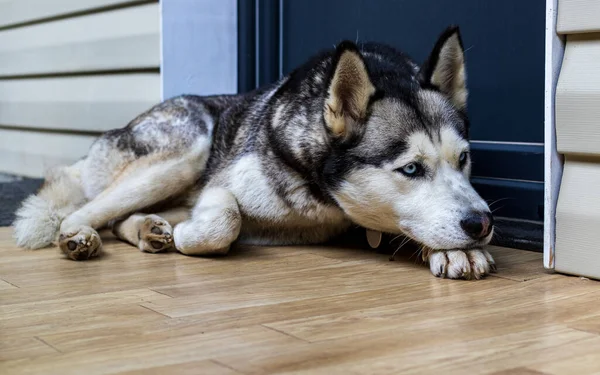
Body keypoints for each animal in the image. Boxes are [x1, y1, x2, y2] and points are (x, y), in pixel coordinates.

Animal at [12, 26, 496, 280]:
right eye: (411, 169)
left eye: (463, 159)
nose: (482, 223)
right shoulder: (220, 185)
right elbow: (225, 219)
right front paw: (191, 237)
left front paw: (453, 251)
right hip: (189, 149)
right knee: (86, 212)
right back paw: (81, 236)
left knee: (117, 218)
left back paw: (148, 229)